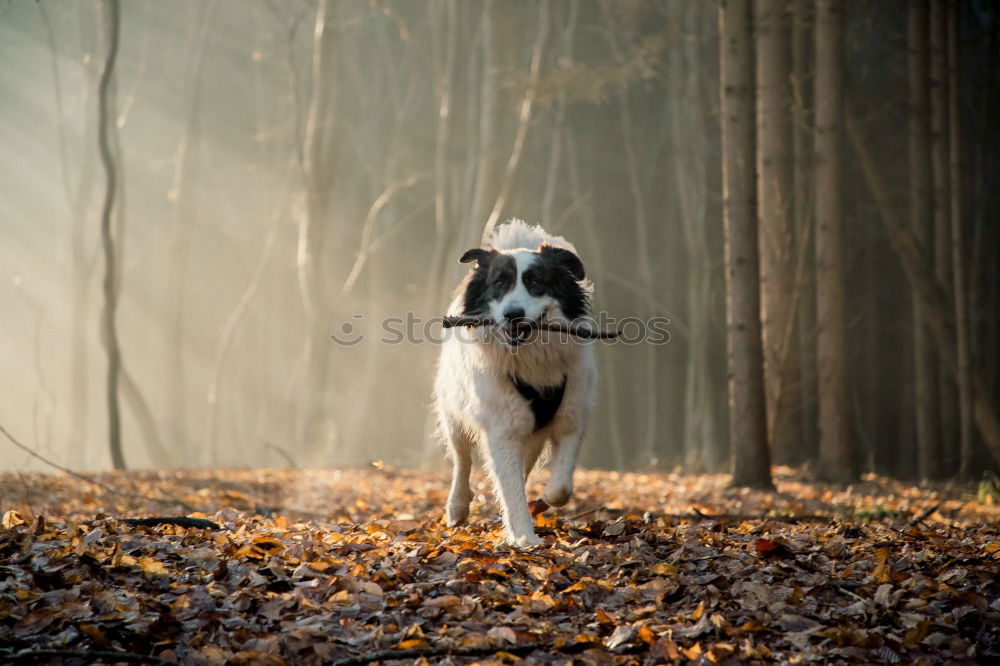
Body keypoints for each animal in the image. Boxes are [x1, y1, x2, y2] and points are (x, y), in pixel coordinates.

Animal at [434, 218, 596, 544]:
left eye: (536, 283)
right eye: (499, 283)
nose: (513, 315)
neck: (531, 357)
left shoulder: (572, 416)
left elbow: (561, 487)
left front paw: (542, 500)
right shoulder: (502, 428)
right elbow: (508, 484)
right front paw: (524, 537)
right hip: (454, 413)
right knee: (461, 459)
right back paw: (457, 507)